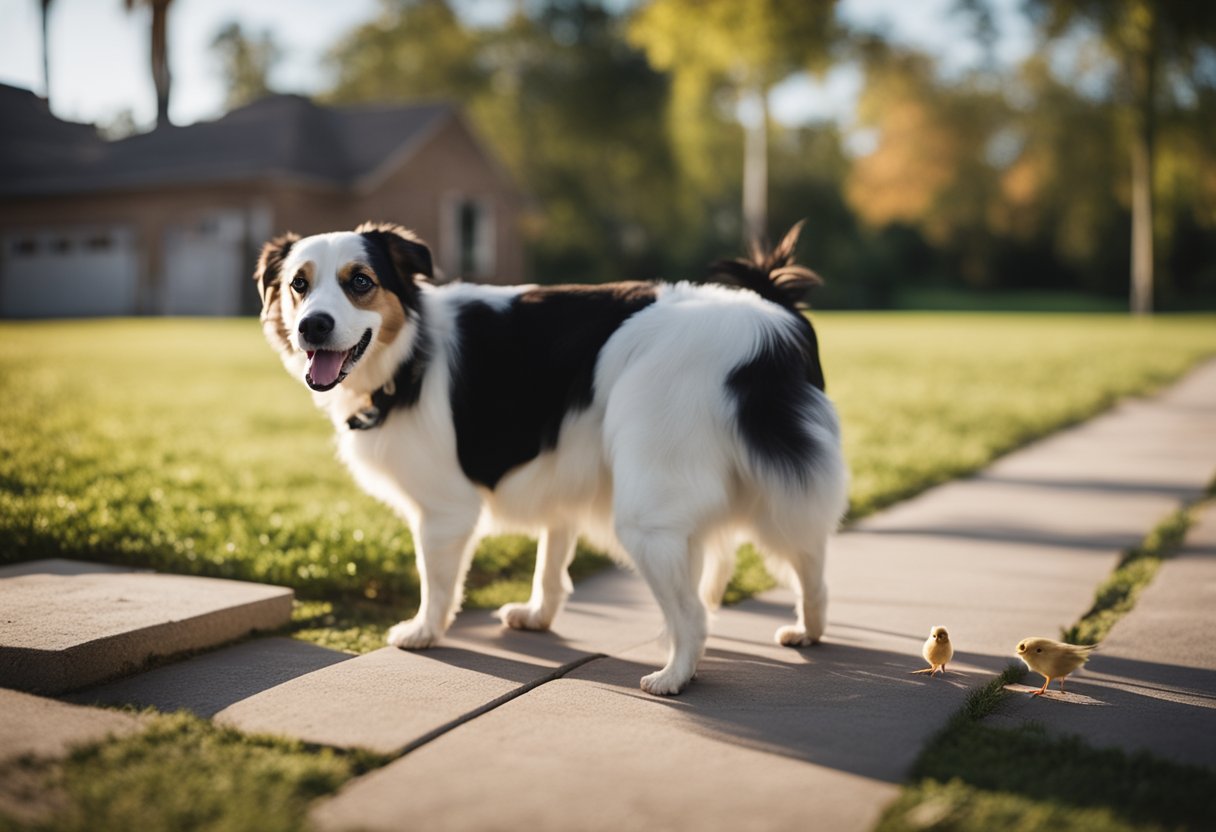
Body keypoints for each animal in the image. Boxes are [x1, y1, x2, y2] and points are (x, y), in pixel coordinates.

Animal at [256, 221, 846, 695]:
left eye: (360, 282)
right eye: (298, 285)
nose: (313, 326)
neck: (408, 355)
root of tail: (770, 318)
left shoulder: (445, 511)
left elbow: (437, 579)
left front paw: (424, 631)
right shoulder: (562, 466)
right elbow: (552, 555)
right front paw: (539, 615)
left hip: (648, 508)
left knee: (694, 612)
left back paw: (675, 676)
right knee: (809, 558)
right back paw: (808, 630)